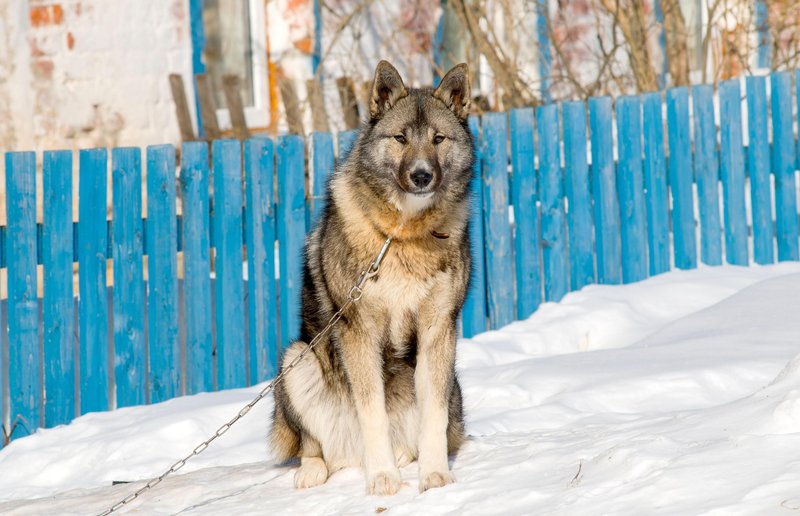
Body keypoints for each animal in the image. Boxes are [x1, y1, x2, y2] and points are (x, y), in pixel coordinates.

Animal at [270, 59, 476, 496]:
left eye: (438, 139)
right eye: (400, 138)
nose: (421, 176)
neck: (403, 235)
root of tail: (349, 455)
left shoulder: (438, 329)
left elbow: (432, 417)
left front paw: (435, 476)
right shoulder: (358, 331)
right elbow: (372, 411)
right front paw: (383, 478)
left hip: (452, 383)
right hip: (297, 359)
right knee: (315, 446)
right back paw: (316, 470)